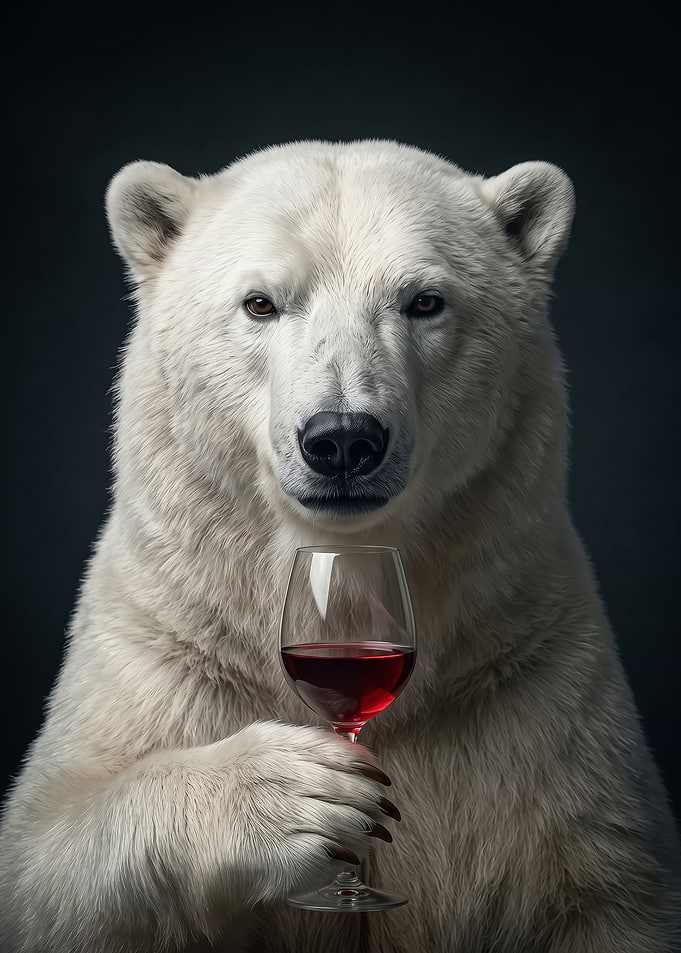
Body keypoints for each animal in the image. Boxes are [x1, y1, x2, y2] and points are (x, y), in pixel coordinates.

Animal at [0, 139, 679, 952]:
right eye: (261, 302)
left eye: (424, 300)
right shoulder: (167, 645)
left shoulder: (530, 687)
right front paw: (296, 793)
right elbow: (45, 852)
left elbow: (609, 887)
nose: (344, 439)